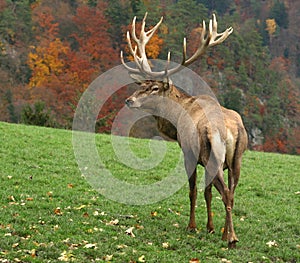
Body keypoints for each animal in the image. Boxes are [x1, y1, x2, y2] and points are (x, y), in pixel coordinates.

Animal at [120, 12, 248, 250]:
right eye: (142, 85)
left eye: (154, 88)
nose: (129, 100)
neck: (175, 120)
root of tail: (231, 129)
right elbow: (207, 192)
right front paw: (210, 227)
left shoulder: (189, 153)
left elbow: (193, 191)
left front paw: (192, 226)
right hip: (237, 160)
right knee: (232, 193)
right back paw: (226, 233)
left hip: (213, 156)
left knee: (226, 193)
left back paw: (232, 238)